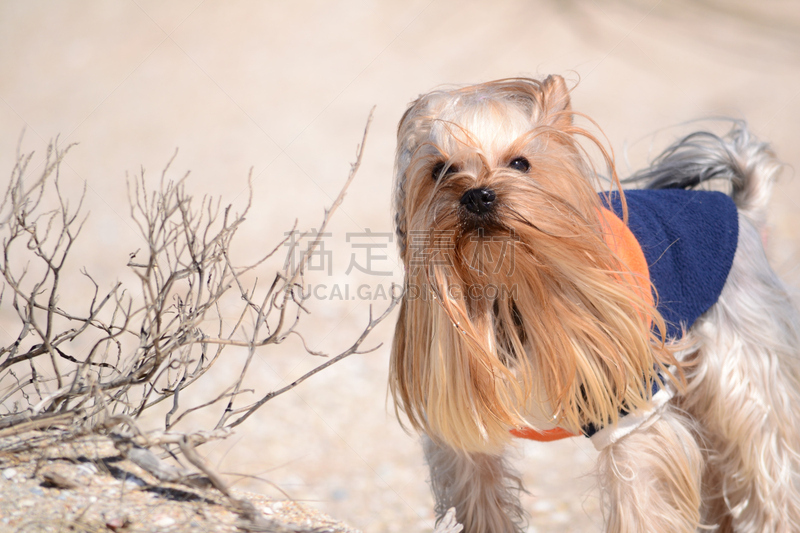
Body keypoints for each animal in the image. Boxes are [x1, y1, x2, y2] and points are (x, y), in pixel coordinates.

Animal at [390, 76, 800, 532]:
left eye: (520, 163)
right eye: (440, 169)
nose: (478, 196)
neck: (508, 288)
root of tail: (740, 209)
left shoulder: (631, 408)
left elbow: (642, 499)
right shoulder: (465, 420)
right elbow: (481, 499)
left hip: (740, 367)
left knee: (762, 455)